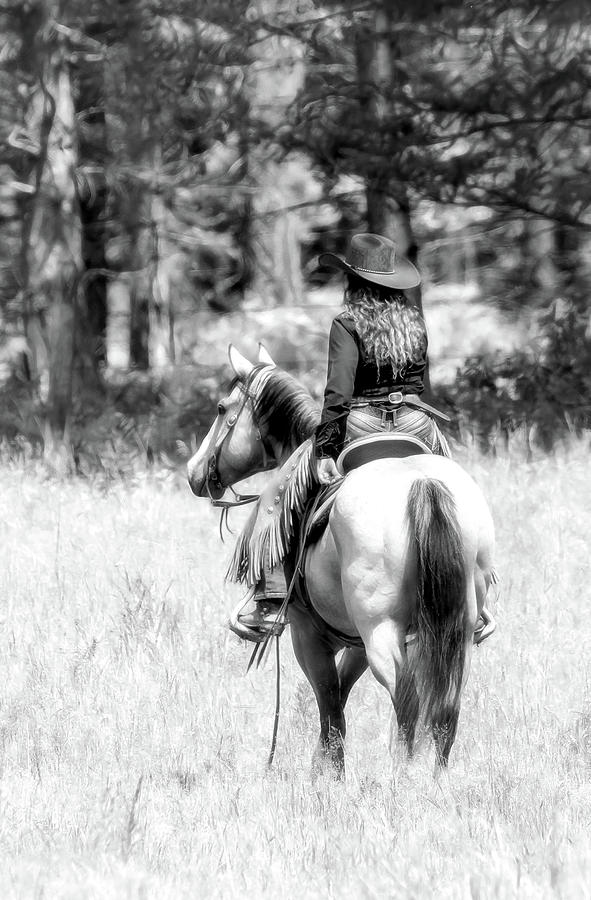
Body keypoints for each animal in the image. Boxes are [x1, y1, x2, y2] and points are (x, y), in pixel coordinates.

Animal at [187, 344, 498, 772]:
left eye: (222, 407)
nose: (194, 472)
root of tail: (422, 483)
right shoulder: (356, 644)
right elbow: (338, 703)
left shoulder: (309, 636)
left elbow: (331, 711)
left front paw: (327, 776)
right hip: (454, 631)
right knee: (445, 708)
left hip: (381, 631)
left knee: (407, 703)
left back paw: (402, 776)